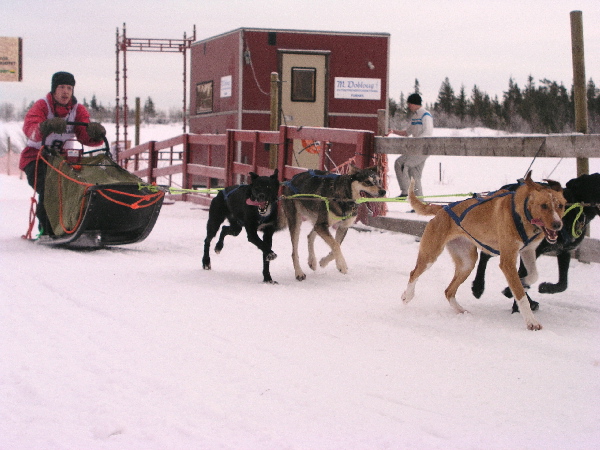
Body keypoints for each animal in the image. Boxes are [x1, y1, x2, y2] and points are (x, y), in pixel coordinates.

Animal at [400, 173, 564, 330]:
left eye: (561, 205)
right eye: (544, 205)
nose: (558, 225)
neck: (522, 212)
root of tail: (443, 208)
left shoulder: (527, 251)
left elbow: (534, 275)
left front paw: (523, 281)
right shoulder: (507, 262)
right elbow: (521, 295)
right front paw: (531, 322)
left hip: (467, 262)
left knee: (448, 291)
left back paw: (461, 310)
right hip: (430, 255)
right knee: (414, 273)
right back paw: (407, 296)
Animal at [474, 171, 600, 312]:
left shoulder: (564, 251)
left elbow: (563, 284)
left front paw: (545, 287)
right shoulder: (531, 249)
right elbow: (521, 276)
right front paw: (515, 302)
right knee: (484, 255)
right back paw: (478, 287)